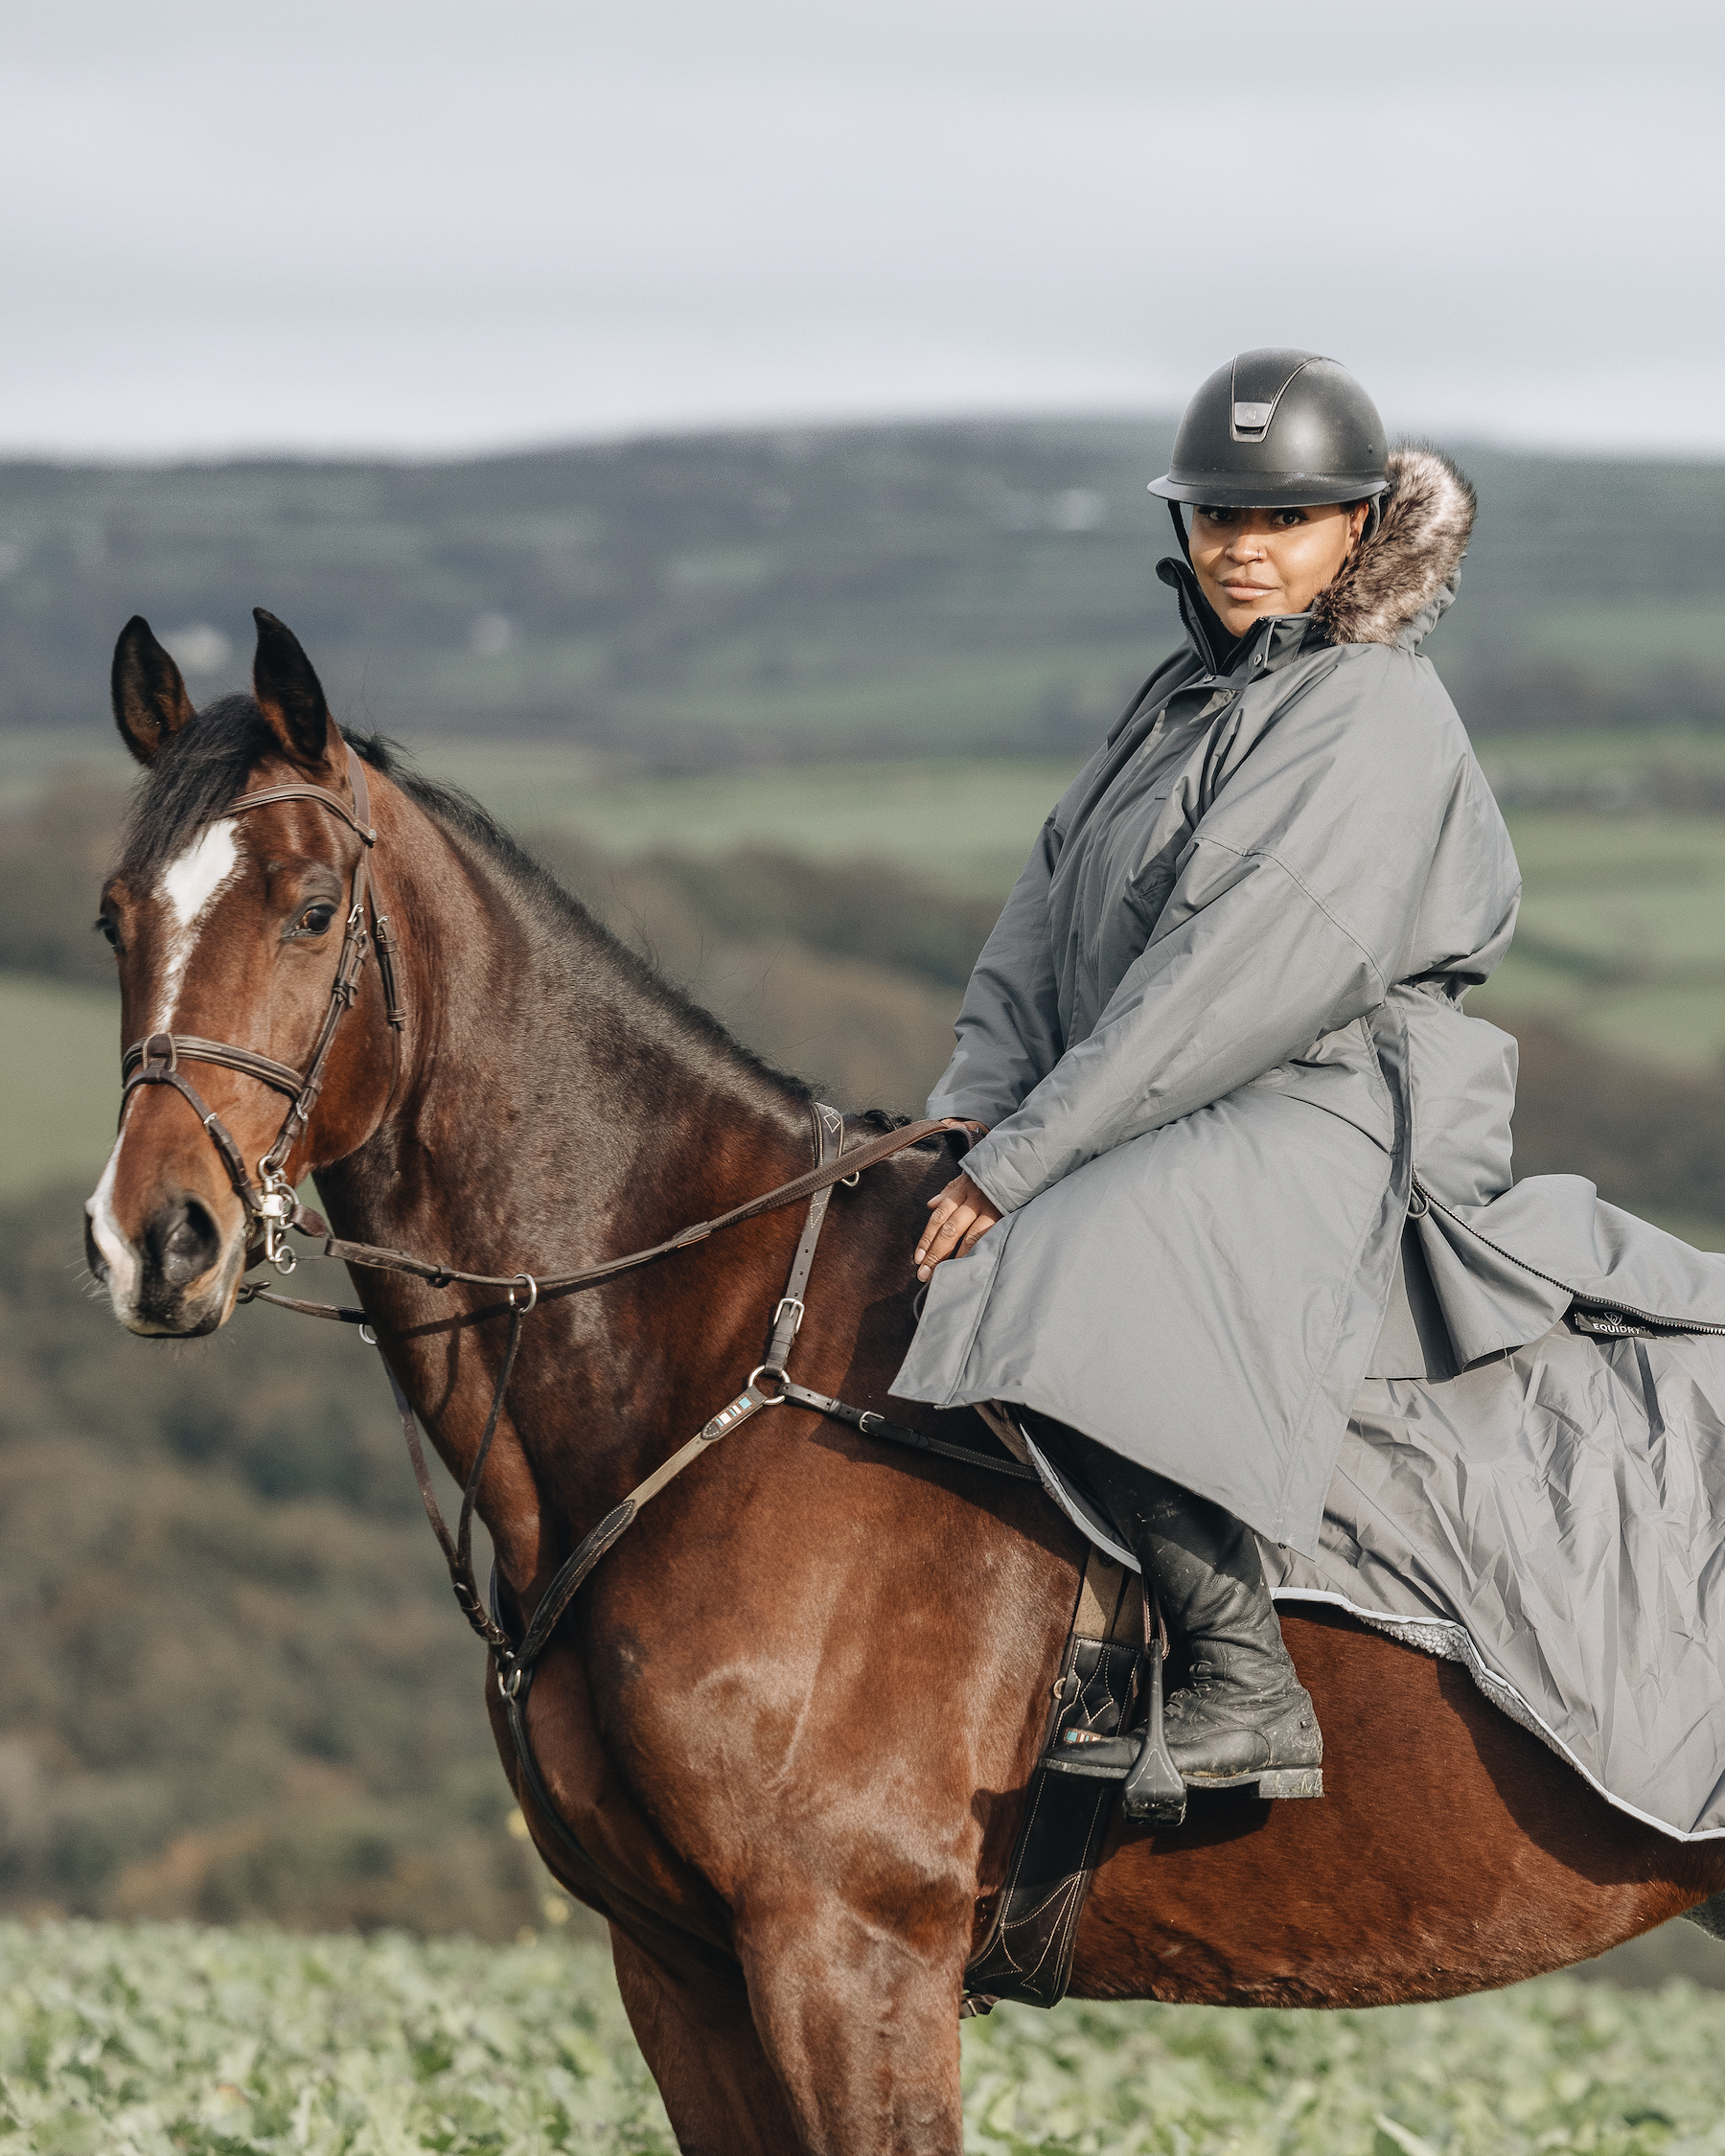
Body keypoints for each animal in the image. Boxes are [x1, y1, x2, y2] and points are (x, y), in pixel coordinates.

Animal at [86, 609, 1725, 2155]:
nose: (152, 1241)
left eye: (311, 910)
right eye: (113, 916)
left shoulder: (848, 1952)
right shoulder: (679, 1967)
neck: (709, 1359)